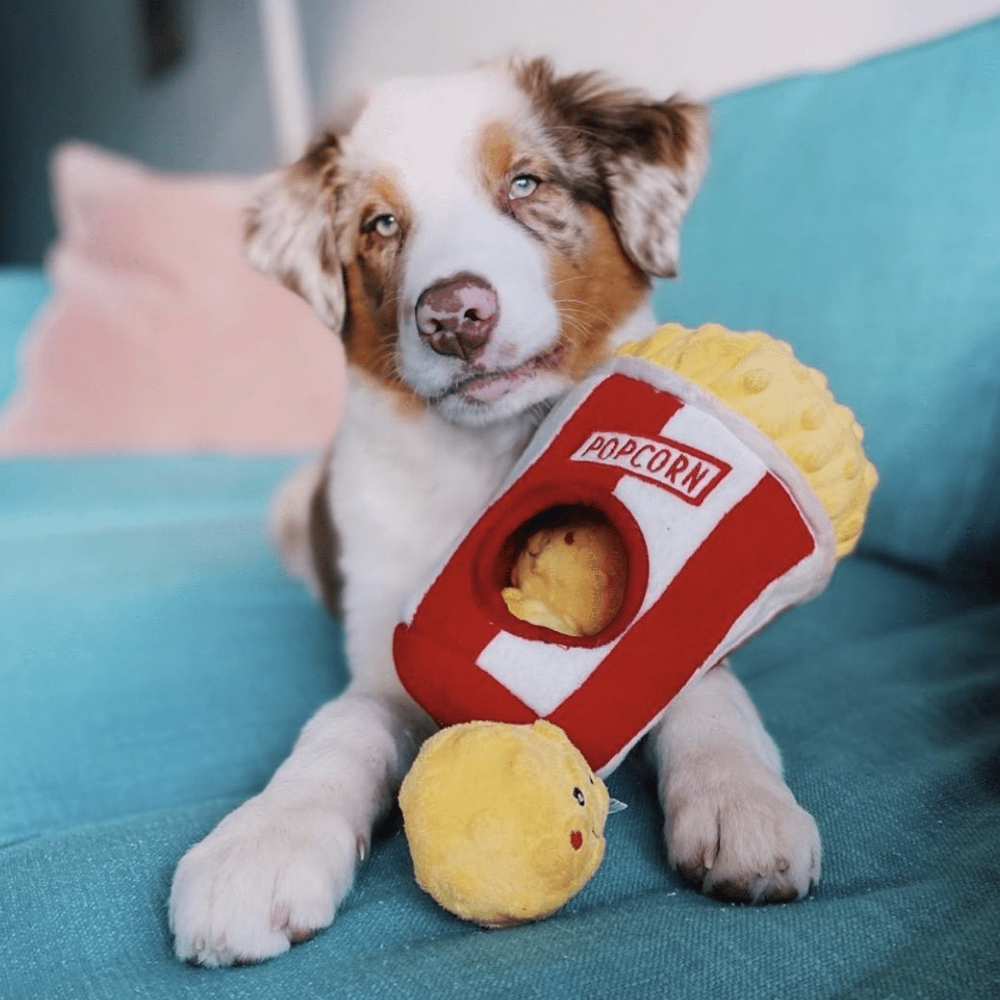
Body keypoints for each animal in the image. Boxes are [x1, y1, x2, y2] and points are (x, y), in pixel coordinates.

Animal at [169, 56, 821, 967]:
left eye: (525, 183)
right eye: (380, 224)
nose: (452, 317)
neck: (493, 457)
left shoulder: (690, 630)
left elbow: (708, 696)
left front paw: (746, 808)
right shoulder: (387, 648)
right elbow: (342, 726)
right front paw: (261, 845)